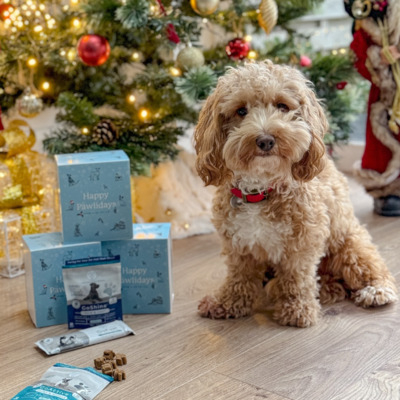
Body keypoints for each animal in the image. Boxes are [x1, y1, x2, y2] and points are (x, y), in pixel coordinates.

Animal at [194, 61, 396, 326]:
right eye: (241, 111)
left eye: (282, 106)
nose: (265, 140)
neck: (261, 189)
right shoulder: (238, 243)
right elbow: (239, 276)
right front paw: (228, 303)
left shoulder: (304, 241)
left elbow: (297, 276)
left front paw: (297, 309)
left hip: (348, 243)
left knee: (371, 267)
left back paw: (376, 290)